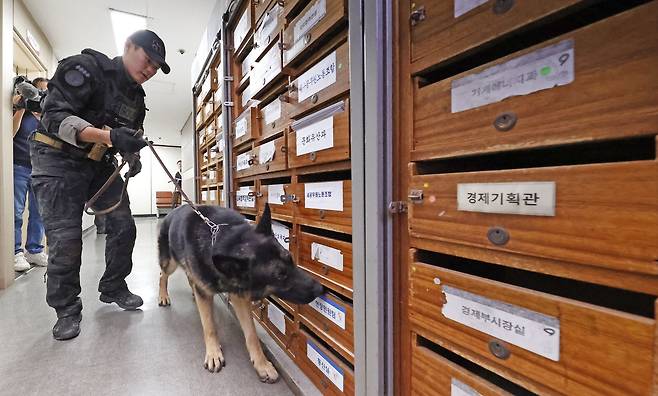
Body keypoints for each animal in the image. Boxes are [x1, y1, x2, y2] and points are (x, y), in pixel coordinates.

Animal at [159, 204, 322, 380]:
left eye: (291, 259)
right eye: (279, 275)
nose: (320, 289)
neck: (222, 238)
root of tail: (173, 210)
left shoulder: (240, 298)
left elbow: (251, 334)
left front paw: (261, 363)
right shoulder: (208, 293)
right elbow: (209, 326)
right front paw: (213, 353)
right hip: (170, 263)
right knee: (163, 275)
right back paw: (163, 296)